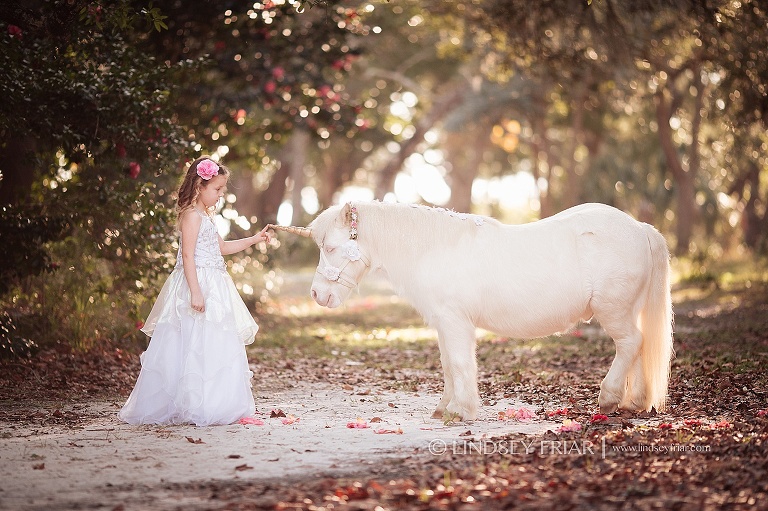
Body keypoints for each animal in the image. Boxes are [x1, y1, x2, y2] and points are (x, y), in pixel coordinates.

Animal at [274, 202, 672, 422]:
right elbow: (449, 366)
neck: (433, 249)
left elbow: (460, 364)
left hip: (614, 312)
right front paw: (445, 407)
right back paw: (634, 402)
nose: (317, 294)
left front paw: (462, 410)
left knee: (630, 344)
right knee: (638, 347)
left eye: (330, 247)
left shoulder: (455, 322)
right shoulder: (443, 324)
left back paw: (609, 398)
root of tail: (639, 227)